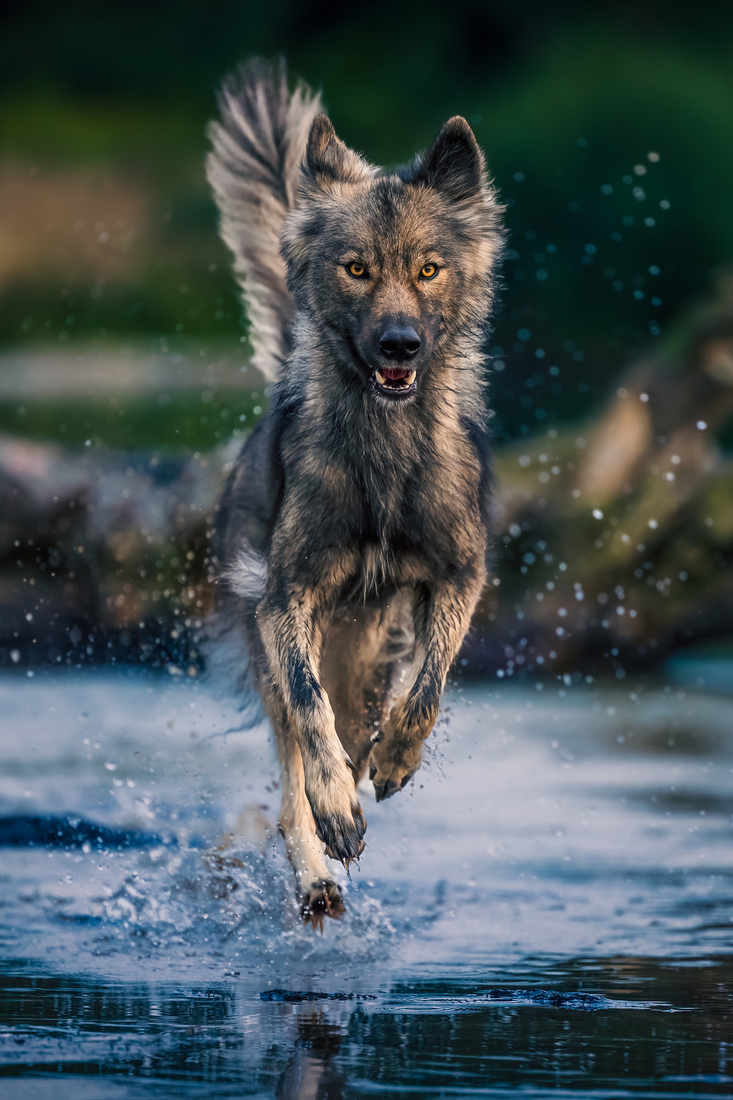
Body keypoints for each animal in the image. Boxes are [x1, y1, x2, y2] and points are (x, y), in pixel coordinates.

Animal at [207, 59, 504, 927]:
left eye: (428, 269)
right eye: (356, 268)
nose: (399, 344)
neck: (384, 457)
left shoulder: (460, 574)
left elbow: (430, 684)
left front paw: (396, 759)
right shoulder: (285, 599)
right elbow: (310, 720)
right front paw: (338, 809)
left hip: (371, 655)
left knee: (362, 716)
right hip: (276, 642)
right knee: (290, 781)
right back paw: (315, 871)